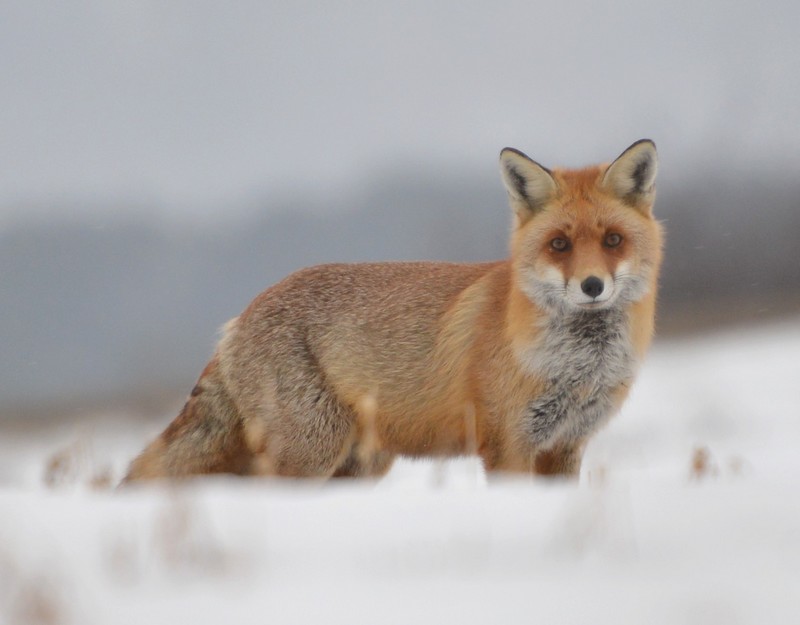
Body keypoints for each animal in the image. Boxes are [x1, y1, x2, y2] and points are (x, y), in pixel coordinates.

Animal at [124, 139, 662, 483]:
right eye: (560, 244)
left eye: (613, 240)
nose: (592, 286)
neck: (576, 368)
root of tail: (240, 316)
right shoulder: (507, 444)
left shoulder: (565, 447)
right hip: (310, 452)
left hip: (358, 465)